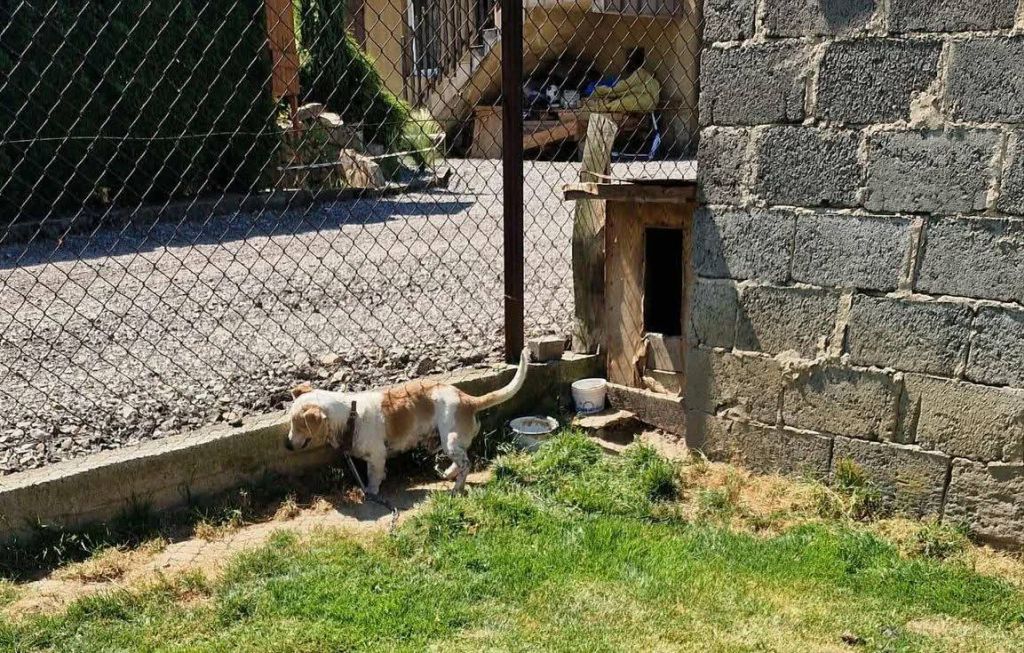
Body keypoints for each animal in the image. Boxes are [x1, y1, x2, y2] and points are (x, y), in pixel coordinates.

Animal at [285, 348, 530, 494]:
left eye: (298, 425)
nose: (286, 445)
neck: (350, 416)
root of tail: (468, 399)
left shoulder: (377, 456)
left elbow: (373, 477)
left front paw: (371, 493)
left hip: (450, 440)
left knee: (466, 463)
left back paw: (456, 488)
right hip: (446, 442)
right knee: (461, 459)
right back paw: (450, 474)